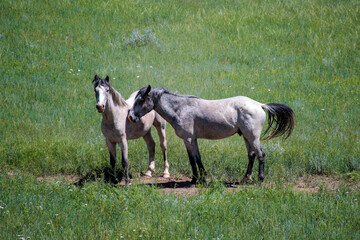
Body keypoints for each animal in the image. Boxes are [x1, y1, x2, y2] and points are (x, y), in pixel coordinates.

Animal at [128, 85, 294, 185]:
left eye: (141, 100)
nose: (130, 117)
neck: (181, 108)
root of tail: (259, 105)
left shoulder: (187, 139)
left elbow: (192, 159)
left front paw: (195, 179)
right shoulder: (194, 139)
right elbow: (198, 157)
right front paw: (202, 177)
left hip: (253, 137)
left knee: (260, 154)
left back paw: (260, 179)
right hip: (247, 137)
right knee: (251, 155)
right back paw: (245, 178)